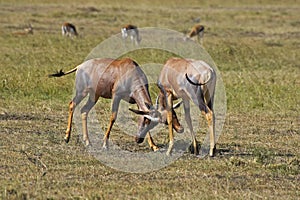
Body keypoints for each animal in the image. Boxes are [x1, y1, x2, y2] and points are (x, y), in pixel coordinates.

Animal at [48, 57, 182, 152]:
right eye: (146, 121)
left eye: (152, 124)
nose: (138, 139)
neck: (129, 70)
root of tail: (80, 66)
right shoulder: (116, 96)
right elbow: (113, 117)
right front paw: (105, 144)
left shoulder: (136, 102)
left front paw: (154, 146)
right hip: (82, 91)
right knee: (72, 104)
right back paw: (67, 137)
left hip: (94, 95)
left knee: (84, 110)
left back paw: (88, 142)